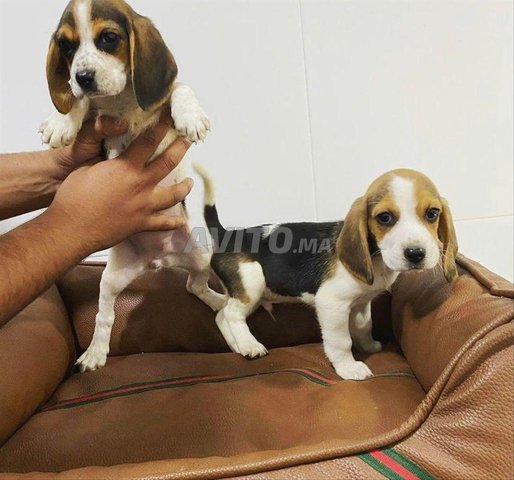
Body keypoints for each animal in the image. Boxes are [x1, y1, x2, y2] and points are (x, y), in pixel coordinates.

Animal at [41, 0, 226, 372]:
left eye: (109, 38)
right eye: (66, 46)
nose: (82, 77)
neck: (121, 101)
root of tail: (159, 261)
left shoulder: (165, 98)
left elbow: (180, 87)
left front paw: (190, 115)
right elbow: (82, 102)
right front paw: (62, 121)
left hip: (201, 254)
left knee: (194, 287)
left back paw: (218, 302)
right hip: (111, 279)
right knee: (105, 316)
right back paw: (95, 352)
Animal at [195, 166, 458, 380]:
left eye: (432, 214)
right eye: (385, 218)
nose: (416, 253)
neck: (376, 258)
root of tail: (227, 234)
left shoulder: (361, 303)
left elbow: (363, 326)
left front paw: (369, 346)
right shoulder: (332, 304)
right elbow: (341, 341)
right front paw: (349, 368)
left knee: (221, 315)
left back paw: (237, 346)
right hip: (252, 283)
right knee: (232, 315)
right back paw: (250, 345)